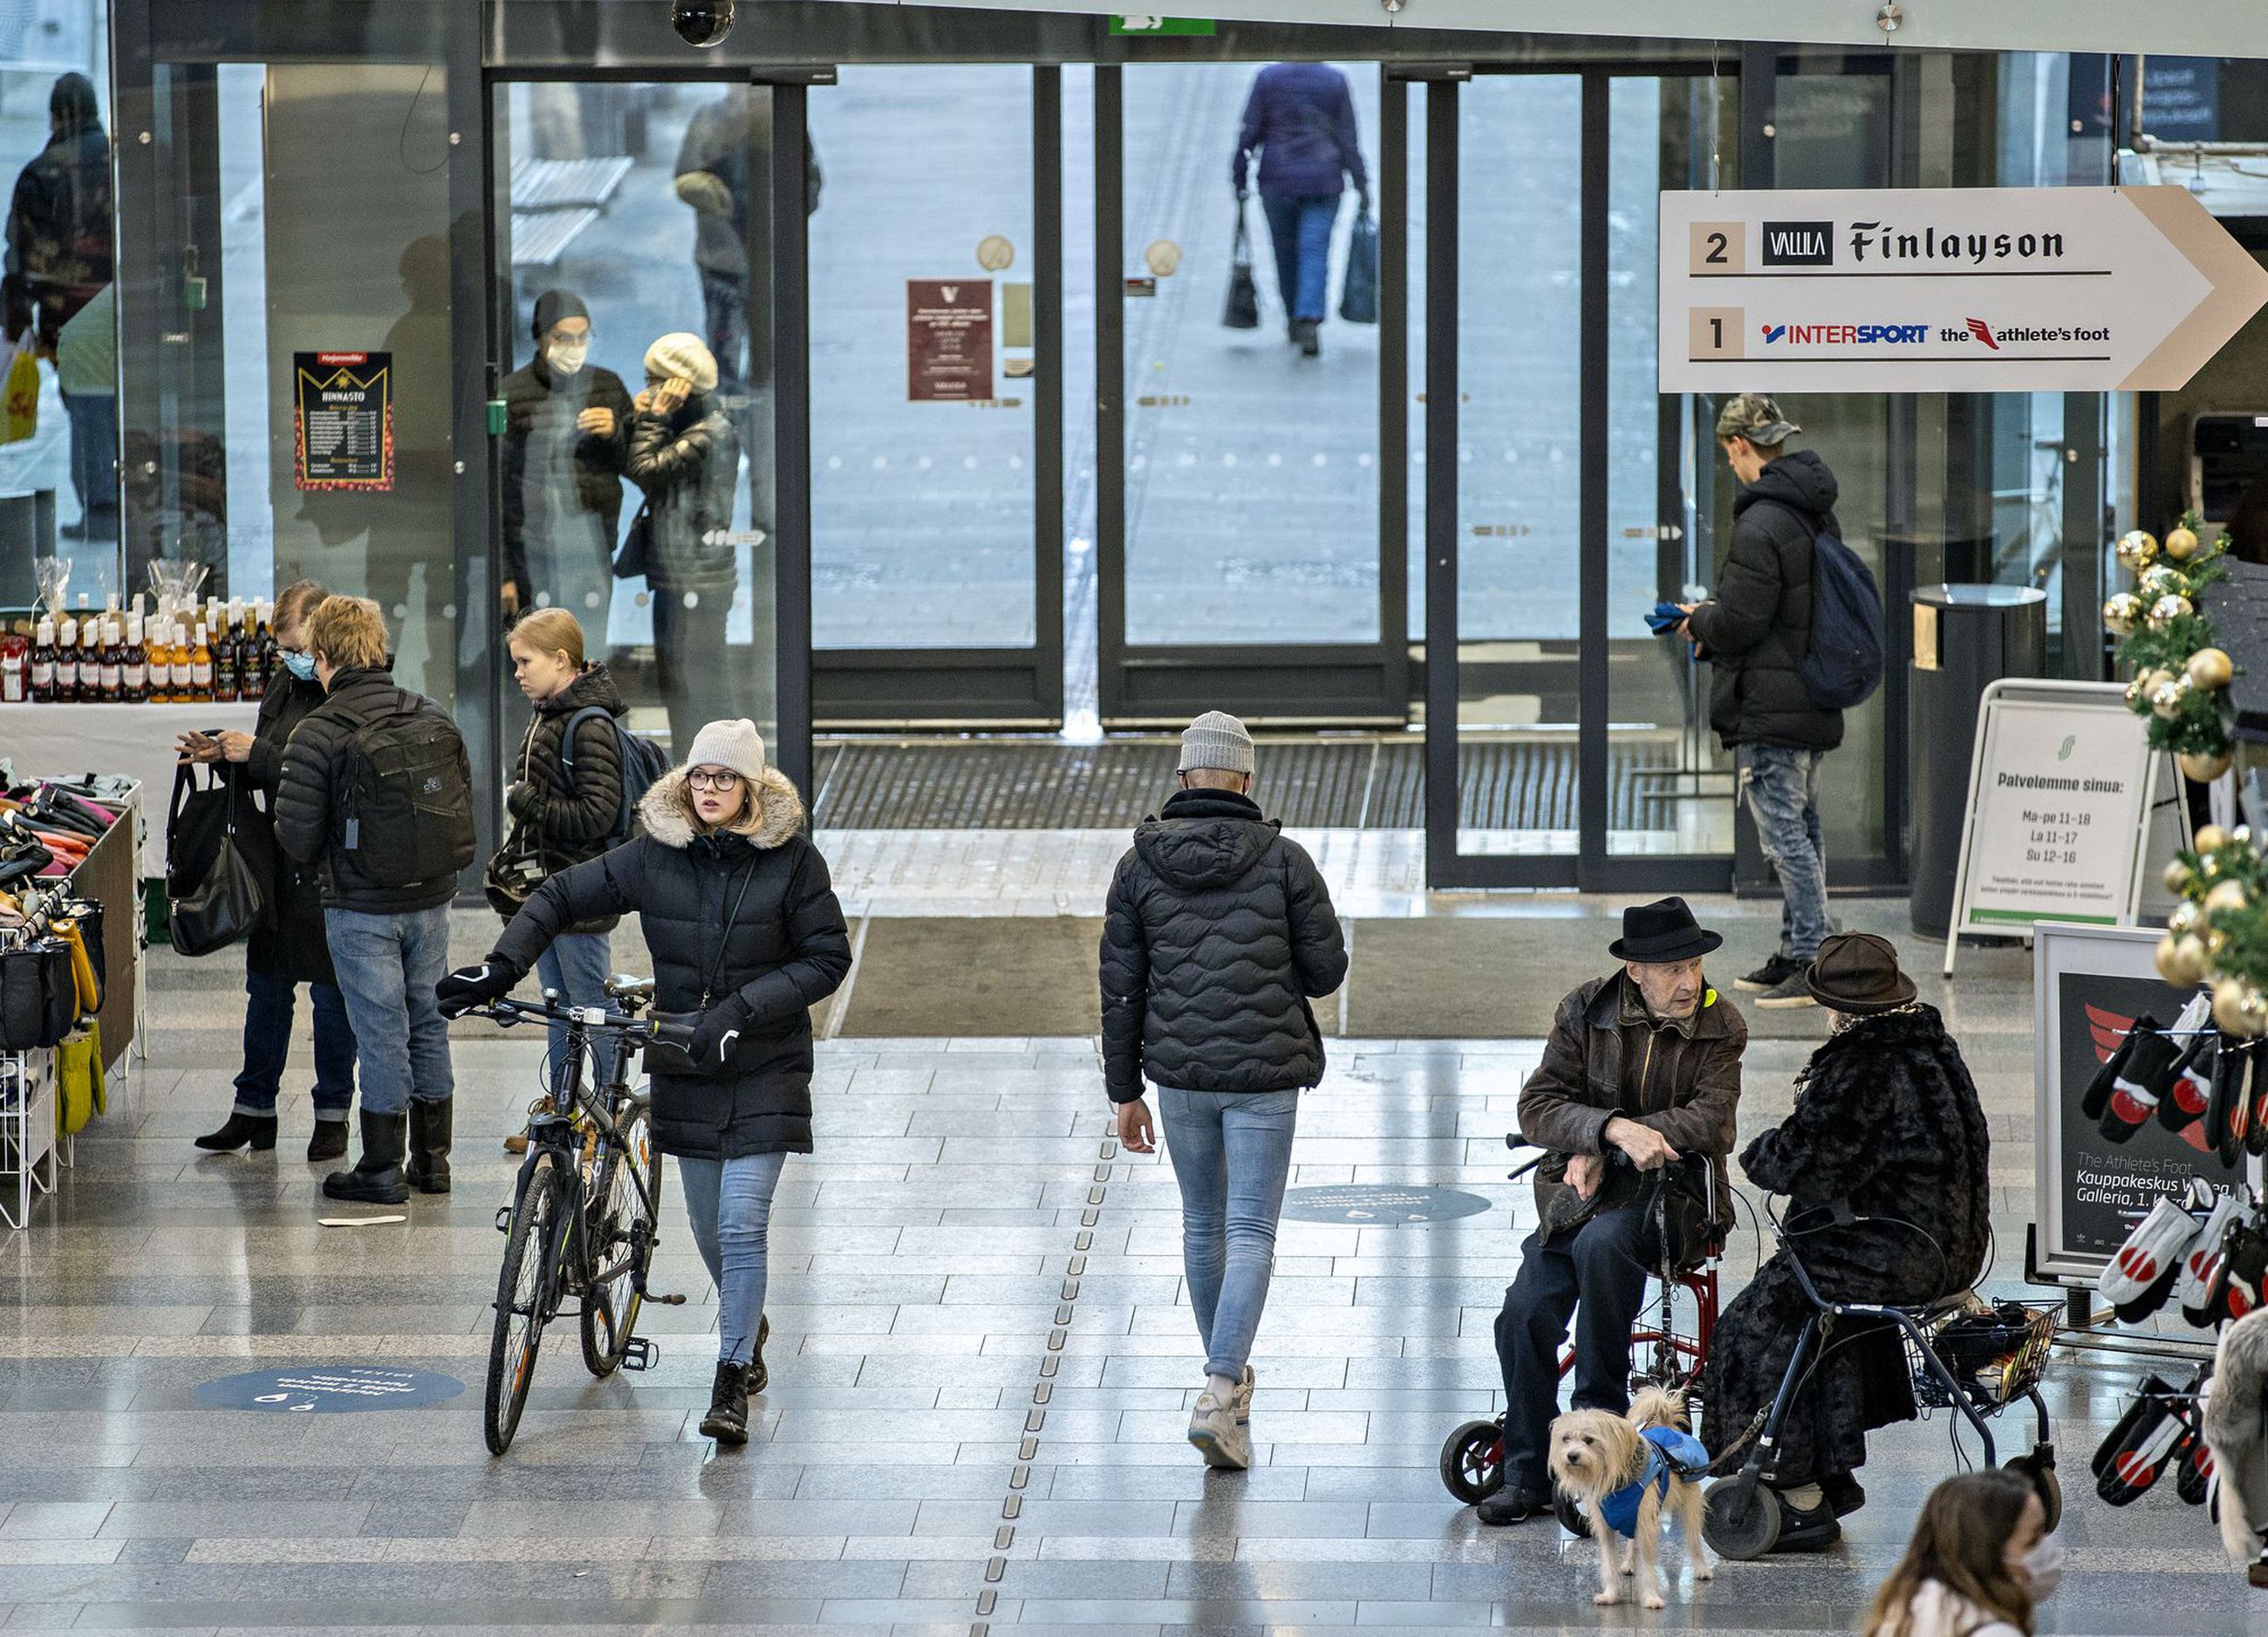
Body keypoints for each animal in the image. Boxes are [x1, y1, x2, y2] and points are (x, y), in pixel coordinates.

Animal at [1551, 1388, 1705, 1596]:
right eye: (1565, 1439)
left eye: (1589, 1440)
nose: (1571, 1456)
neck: (1617, 1484)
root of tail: (1666, 1425)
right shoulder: (1610, 1521)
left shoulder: (1644, 1517)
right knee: (1633, 1542)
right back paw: (1629, 1564)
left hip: (1687, 1506)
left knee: (1693, 1537)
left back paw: (1702, 1568)